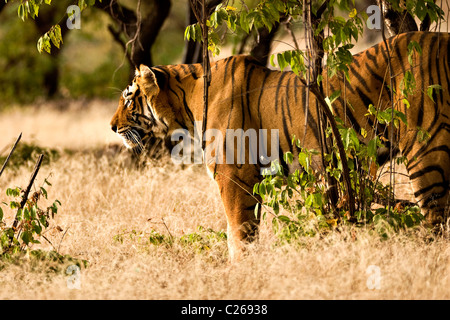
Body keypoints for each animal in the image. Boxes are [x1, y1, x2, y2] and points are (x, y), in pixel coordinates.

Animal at [111, 31, 450, 262]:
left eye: (128, 99)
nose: (112, 127)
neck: (186, 102)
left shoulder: (233, 175)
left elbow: (238, 232)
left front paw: (240, 270)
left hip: (425, 147)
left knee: (436, 221)